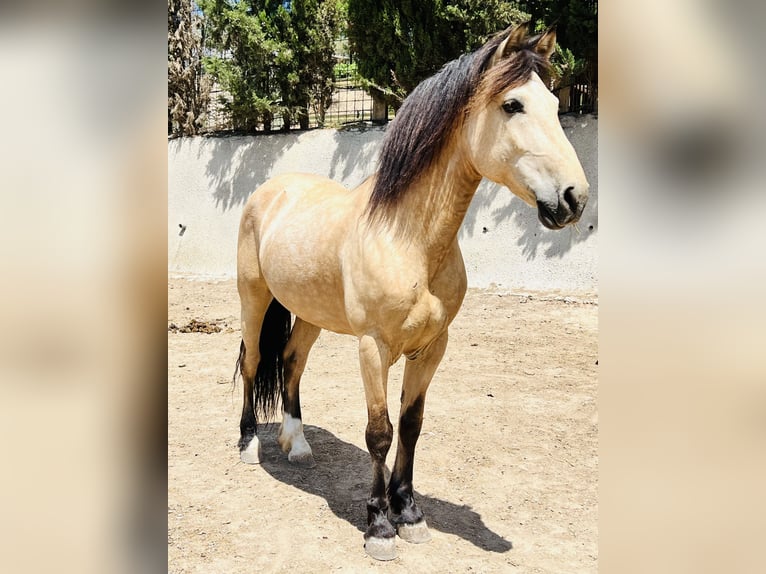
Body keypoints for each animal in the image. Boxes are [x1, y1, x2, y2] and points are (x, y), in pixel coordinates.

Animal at [234, 22, 589, 561]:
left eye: (553, 102)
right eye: (513, 105)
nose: (575, 198)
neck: (407, 238)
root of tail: (271, 189)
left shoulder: (432, 346)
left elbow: (412, 425)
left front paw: (410, 513)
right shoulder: (373, 346)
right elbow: (379, 432)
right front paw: (380, 526)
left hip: (310, 312)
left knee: (292, 363)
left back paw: (297, 445)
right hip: (253, 299)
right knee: (255, 362)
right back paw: (250, 444)